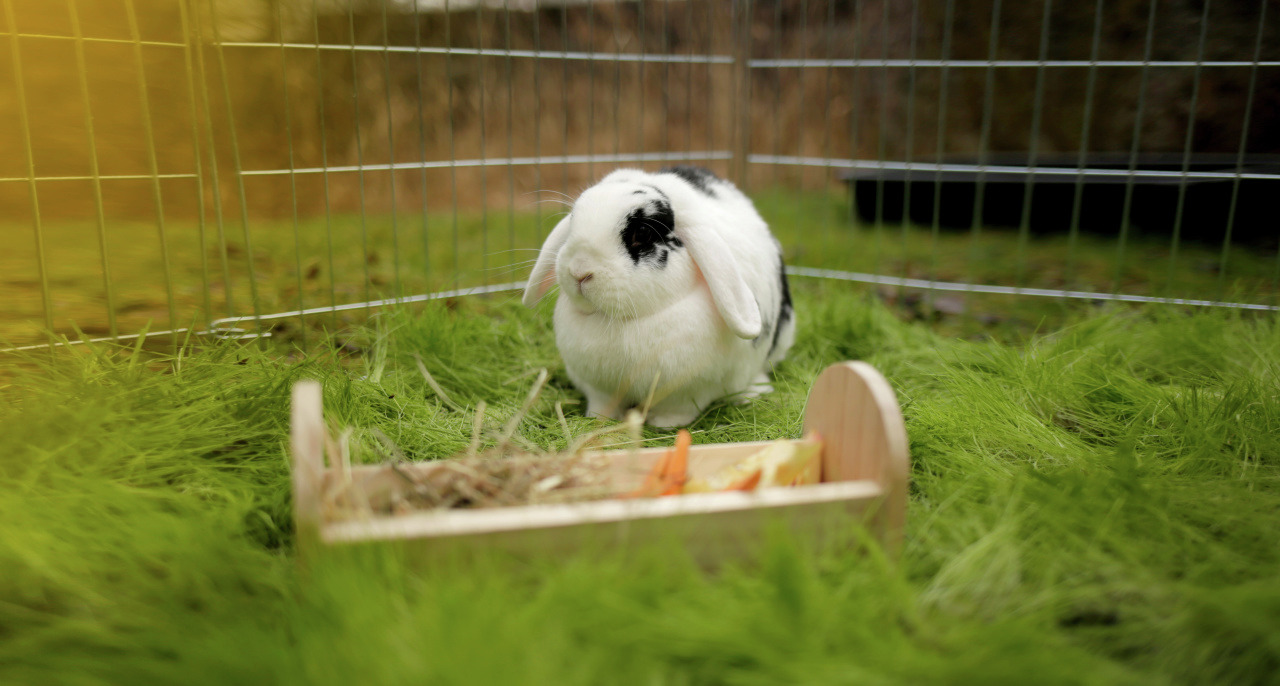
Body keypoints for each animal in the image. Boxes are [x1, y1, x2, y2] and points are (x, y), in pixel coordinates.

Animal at [522, 166, 795, 427]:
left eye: (643, 232)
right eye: (573, 219)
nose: (579, 271)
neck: (624, 320)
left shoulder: (686, 391)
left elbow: (678, 409)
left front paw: (663, 424)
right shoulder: (600, 389)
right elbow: (603, 404)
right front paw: (598, 419)